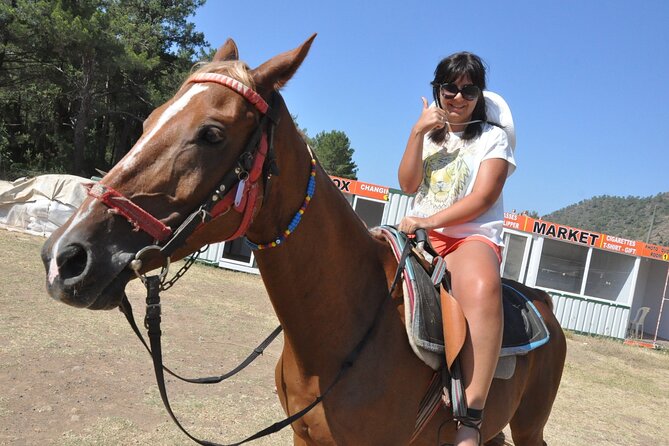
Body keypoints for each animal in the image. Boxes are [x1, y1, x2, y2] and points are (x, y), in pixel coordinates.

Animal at [41, 35, 566, 445]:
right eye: (149, 120)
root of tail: (543, 303)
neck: (347, 332)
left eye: (211, 134)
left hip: (529, 427)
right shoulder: (305, 437)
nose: (65, 257)